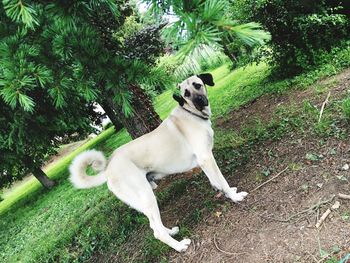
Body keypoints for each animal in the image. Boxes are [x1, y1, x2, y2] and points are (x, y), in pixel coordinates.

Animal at [69, 73, 249, 253]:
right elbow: (222, 180)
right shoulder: (206, 157)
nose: (199, 101)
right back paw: (179, 245)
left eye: (197, 85)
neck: (192, 113)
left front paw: (220, 189)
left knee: (155, 225)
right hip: (147, 197)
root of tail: (108, 168)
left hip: (144, 201)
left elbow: (214, 179)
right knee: (156, 232)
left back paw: (171, 231)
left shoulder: (203, 160)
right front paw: (234, 196)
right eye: (186, 94)